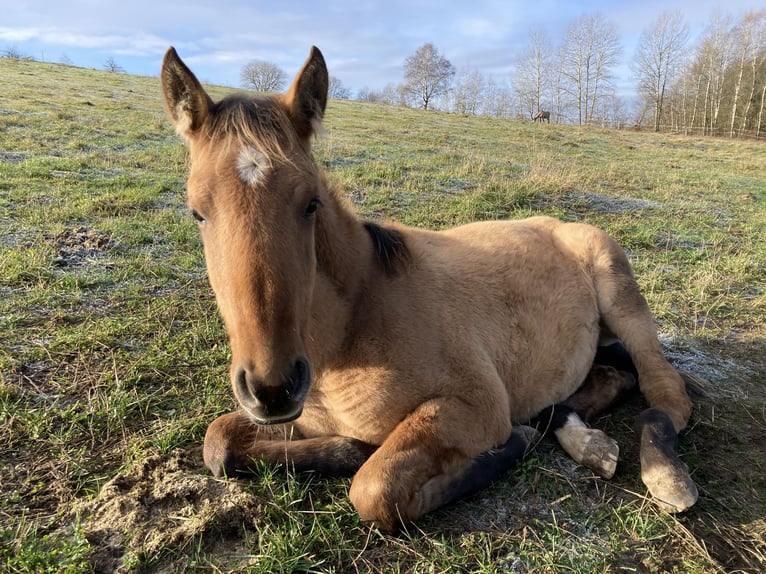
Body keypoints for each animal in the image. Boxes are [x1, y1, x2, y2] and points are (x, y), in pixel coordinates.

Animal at [162, 46, 704, 536]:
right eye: (196, 211)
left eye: (310, 202)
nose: (272, 388)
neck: (352, 332)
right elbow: (219, 441)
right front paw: (347, 449)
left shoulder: (476, 407)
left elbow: (375, 489)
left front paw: (509, 447)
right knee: (605, 381)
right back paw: (586, 441)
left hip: (623, 300)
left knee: (663, 390)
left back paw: (665, 475)